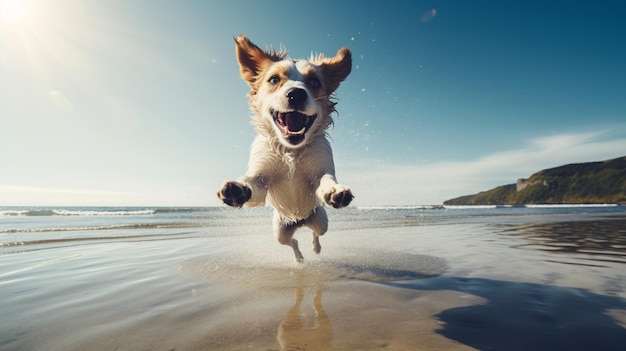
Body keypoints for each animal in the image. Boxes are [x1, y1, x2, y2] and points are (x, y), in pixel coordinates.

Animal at [216, 35, 352, 262]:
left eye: (315, 82)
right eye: (273, 80)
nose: (296, 94)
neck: (291, 151)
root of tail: (299, 220)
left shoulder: (318, 170)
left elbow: (325, 179)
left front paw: (334, 190)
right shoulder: (262, 179)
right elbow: (251, 181)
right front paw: (238, 187)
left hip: (320, 220)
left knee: (316, 234)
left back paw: (315, 249)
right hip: (280, 230)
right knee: (292, 242)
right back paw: (299, 258)